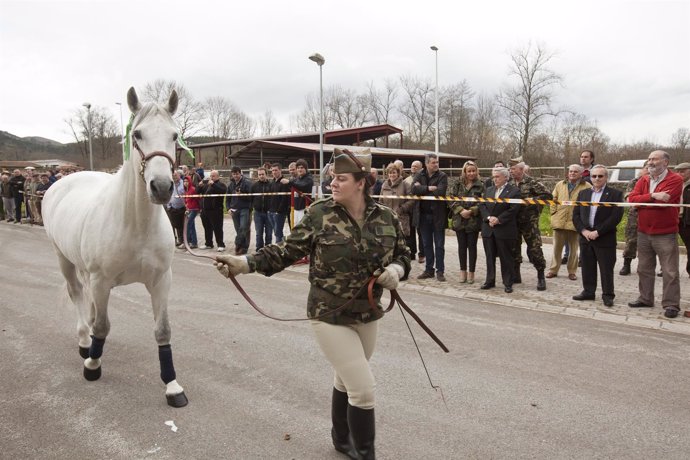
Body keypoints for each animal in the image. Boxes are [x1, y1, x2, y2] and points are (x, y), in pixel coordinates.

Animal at [43, 87, 188, 406]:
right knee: (77, 295)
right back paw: (84, 342)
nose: (162, 187)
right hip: (64, 260)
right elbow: (102, 326)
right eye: (137, 135)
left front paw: (172, 385)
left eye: (174, 136)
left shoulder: (161, 281)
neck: (135, 224)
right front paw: (93, 365)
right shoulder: (101, 280)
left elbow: (163, 330)